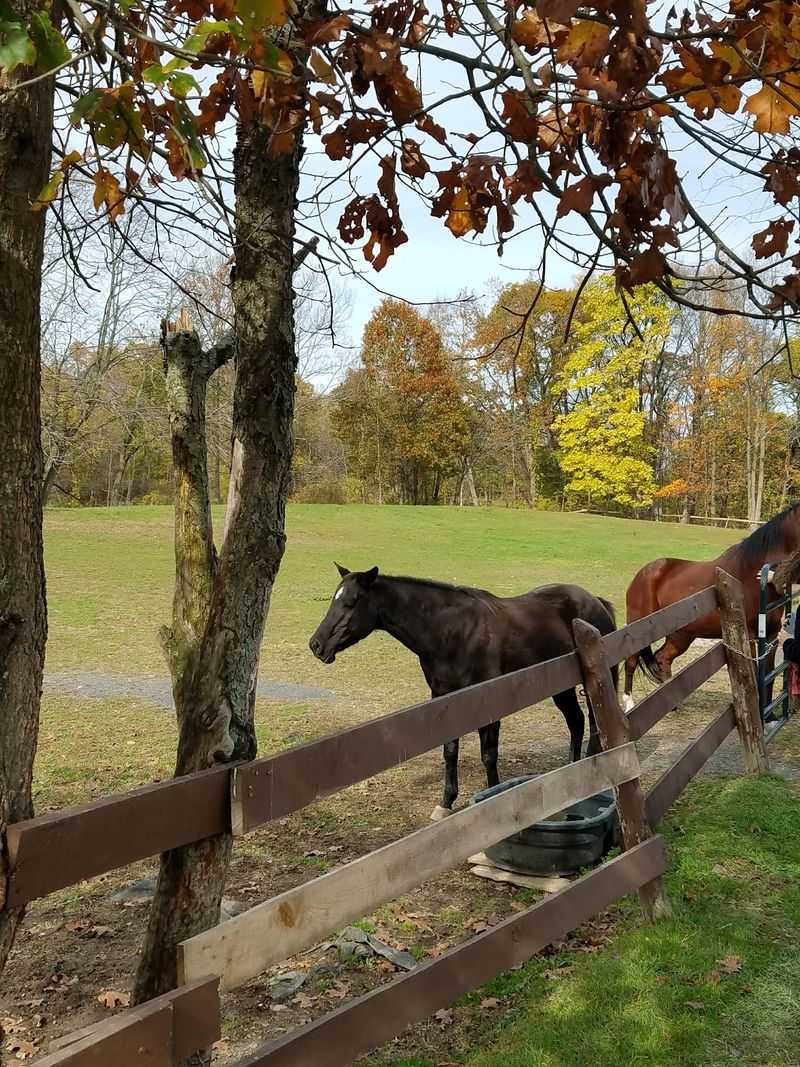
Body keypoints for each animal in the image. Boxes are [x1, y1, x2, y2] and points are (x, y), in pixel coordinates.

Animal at [309, 563, 618, 821]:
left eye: (351, 602)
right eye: (334, 599)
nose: (316, 644)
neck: (453, 632)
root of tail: (595, 601)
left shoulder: (488, 701)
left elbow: (488, 754)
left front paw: (492, 795)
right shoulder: (445, 698)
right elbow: (450, 751)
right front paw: (445, 803)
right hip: (560, 687)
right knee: (576, 722)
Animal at [622, 502, 800, 710]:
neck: (753, 575)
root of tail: (643, 573)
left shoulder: (771, 637)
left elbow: (768, 677)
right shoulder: (749, 637)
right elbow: (757, 679)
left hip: (681, 635)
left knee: (662, 658)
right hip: (637, 631)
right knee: (631, 662)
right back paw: (629, 704)